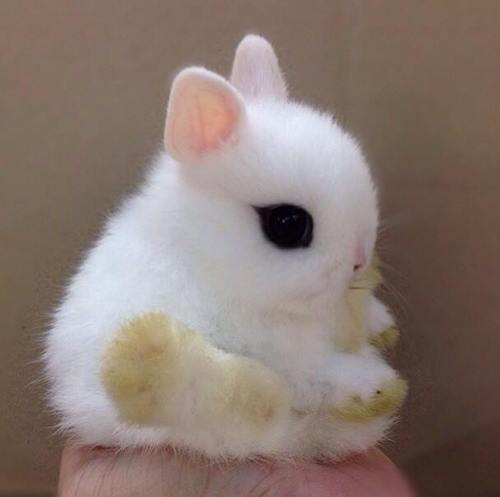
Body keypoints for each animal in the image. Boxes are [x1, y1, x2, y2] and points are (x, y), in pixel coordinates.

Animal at [45, 35, 406, 460]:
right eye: (288, 224)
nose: (359, 261)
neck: (206, 259)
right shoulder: (271, 346)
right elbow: (310, 371)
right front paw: (374, 383)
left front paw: (383, 326)